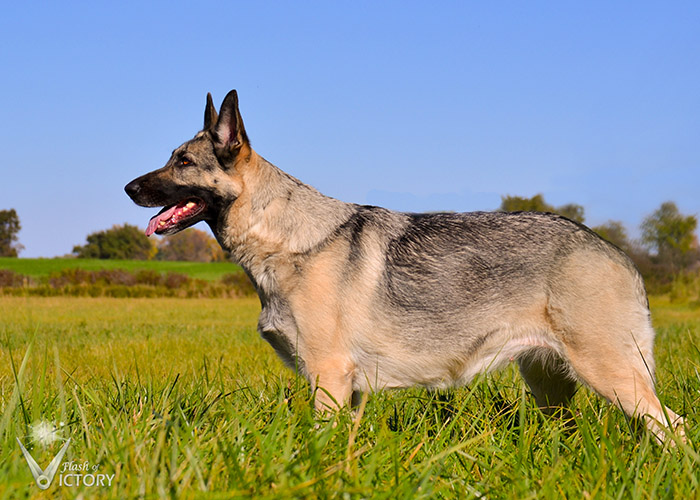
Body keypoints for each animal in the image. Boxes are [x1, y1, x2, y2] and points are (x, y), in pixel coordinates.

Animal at [124, 90, 684, 442]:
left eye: (183, 163)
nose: (128, 188)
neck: (284, 236)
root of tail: (611, 248)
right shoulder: (343, 392)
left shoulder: (329, 379)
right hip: (552, 387)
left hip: (610, 374)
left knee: (672, 427)